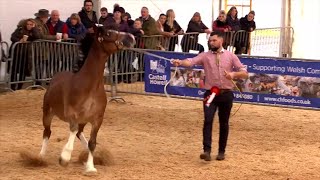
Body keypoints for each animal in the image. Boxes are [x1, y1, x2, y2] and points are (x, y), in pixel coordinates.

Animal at [38, 26, 135, 172]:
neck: (90, 87)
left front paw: (90, 167)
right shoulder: (72, 114)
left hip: (83, 121)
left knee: (79, 133)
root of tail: (54, 78)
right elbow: (72, 130)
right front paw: (64, 158)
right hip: (48, 114)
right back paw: (41, 156)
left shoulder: (97, 119)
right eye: (107, 33)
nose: (131, 37)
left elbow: (92, 142)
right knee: (48, 132)